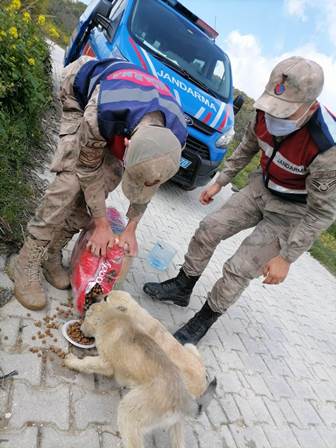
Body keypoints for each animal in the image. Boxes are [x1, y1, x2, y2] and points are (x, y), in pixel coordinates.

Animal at [64, 294, 217, 448]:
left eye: (86, 318)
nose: (80, 327)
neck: (113, 318)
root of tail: (184, 399)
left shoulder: (105, 363)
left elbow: (87, 362)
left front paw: (72, 361)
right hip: (176, 424)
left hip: (129, 413)